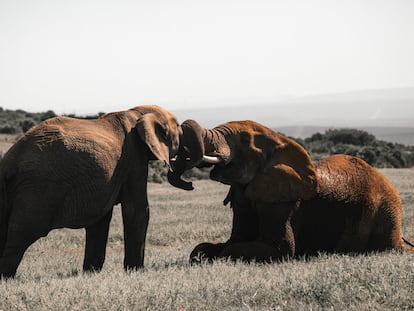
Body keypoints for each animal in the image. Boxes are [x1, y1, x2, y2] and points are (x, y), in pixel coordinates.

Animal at [0, 105, 181, 278]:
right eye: (179, 129)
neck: (138, 112)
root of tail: (10, 161)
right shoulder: (135, 159)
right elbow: (136, 211)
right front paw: (135, 271)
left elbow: (100, 219)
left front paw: (91, 272)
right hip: (39, 189)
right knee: (21, 235)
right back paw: (6, 278)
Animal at [167, 119, 410, 264]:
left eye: (245, 140)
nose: (189, 184)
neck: (279, 141)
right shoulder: (243, 195)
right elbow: (220, 244)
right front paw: (206, 254)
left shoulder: (282, 202)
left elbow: (279, 249)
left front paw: (221, 258)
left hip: (384, 212)